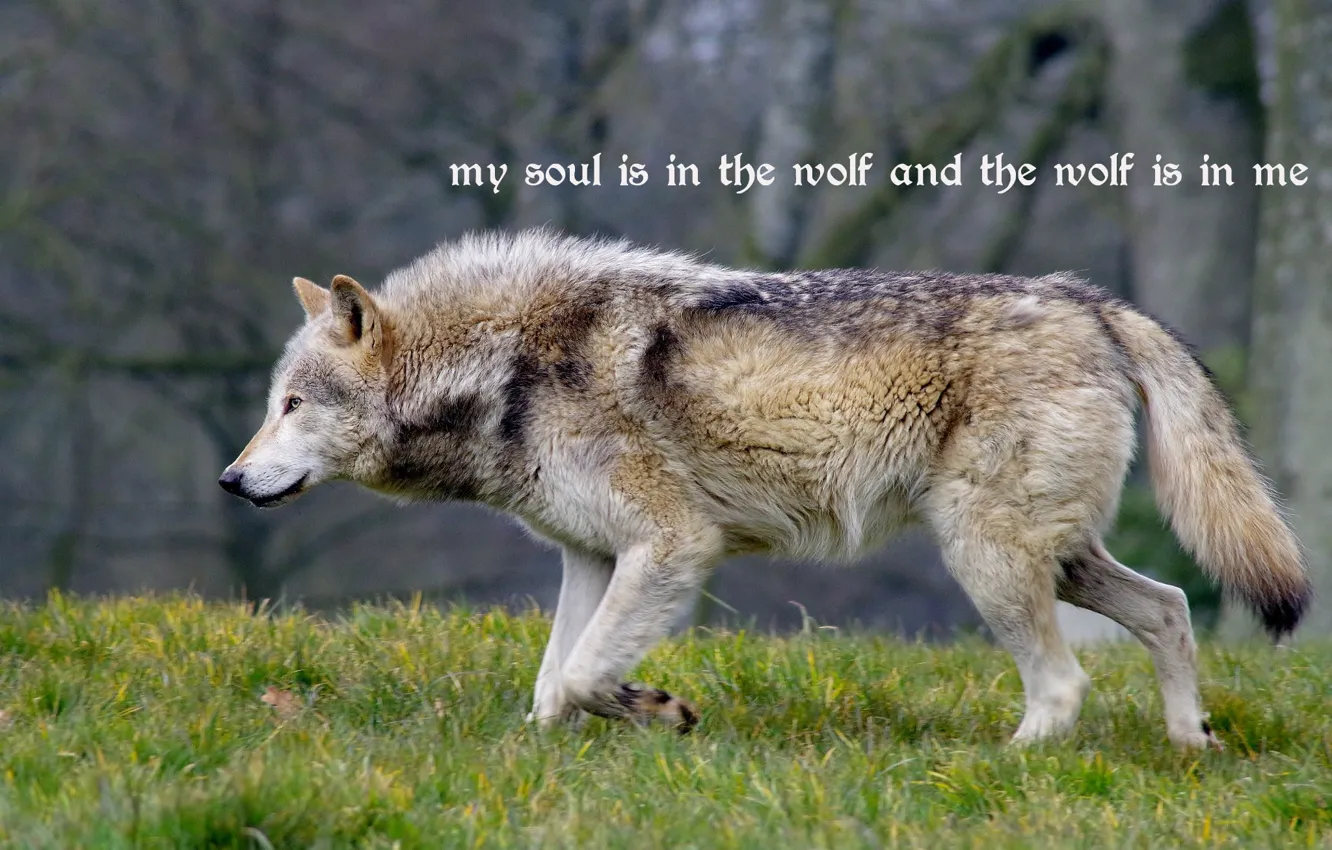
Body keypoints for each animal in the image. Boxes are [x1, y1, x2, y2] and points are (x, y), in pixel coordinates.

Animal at [219, 229, 1312, 750]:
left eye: (290, 403)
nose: (229, 479)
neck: (507, 367)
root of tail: (1090, 299)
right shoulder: (594, 559)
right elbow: (552, 683)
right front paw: (548, 749)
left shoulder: (672, 548)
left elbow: (582, 675)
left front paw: (655, 709)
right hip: (1062, 560)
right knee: (1170, 609)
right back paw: (1191, 742)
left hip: (989, 559)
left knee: (1065, 683)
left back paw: (1010, 762)